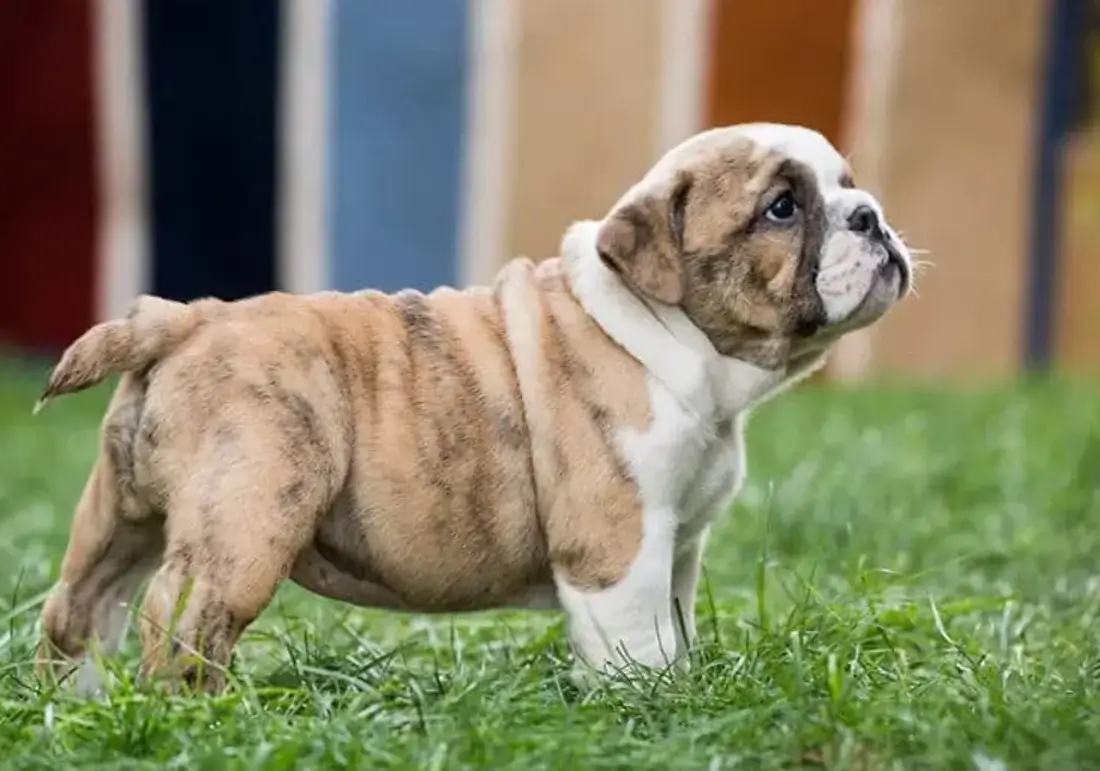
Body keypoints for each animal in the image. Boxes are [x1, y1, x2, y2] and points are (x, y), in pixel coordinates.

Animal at [34, 121, 910, 690]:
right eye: (782, 208)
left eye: (849, 188)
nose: (873, 218)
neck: (667, 336)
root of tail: (187, 318)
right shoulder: (618, 547)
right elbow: (640, 643)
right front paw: (655, 710)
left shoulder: (677, 546)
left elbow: (676, 625)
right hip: (247, 521)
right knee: (182, 621)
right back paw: (197, 716)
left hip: (120, 517)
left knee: (80, 608)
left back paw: (74, 710)